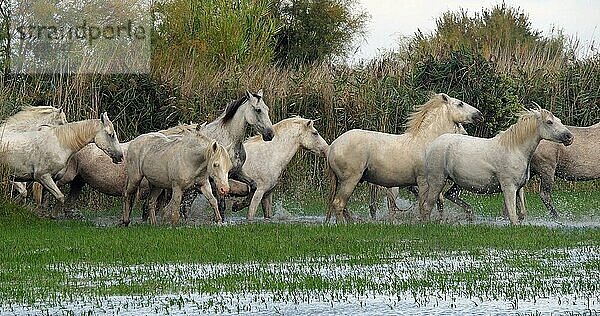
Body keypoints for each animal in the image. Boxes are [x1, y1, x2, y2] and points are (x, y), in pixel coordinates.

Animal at [324, 92, 482, 223]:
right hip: (350, 180)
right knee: (339, 204)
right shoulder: (423, 182)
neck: (426, 142)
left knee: (342, 206)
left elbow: (437, 202)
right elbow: (424, 205)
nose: (479, 115)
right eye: (460, 103)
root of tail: (331, 147)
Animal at [420, 107, 576, 225]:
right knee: (427, 205)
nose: (569, 137)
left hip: (458, 183)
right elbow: (513, 217)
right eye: (549, 122)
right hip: (437, 181)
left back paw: (470, 216)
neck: (515, 149)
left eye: (559, 120)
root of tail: (432, 145)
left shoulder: (519, 188)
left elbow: (522, 213)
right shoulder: (509, 188)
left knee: (449, 195)